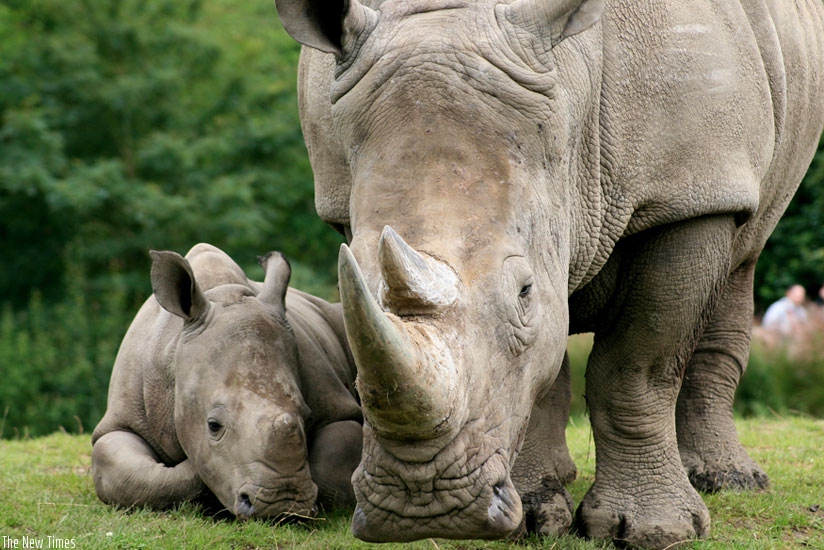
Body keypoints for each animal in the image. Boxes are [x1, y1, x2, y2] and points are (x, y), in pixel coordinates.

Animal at [91, 243, 362, 519]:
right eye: (213, 426)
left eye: (308, 417)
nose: (281, 505)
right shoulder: (121, 420)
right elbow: (130, 477)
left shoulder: (340, 411)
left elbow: (330, 464)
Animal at [274, 0, 824, 547]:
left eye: (524, 293)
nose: (424, 504)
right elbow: (540, 369)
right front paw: (534, 520)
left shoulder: (688, 192)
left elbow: (637, 368)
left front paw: (652, 530)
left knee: (743, 256)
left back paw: (730, 483)